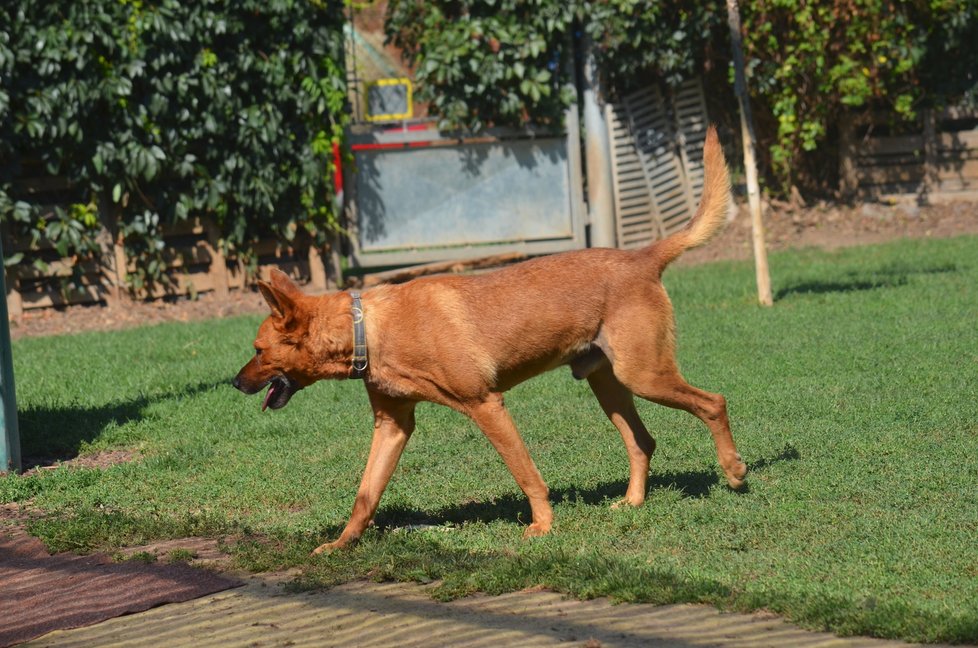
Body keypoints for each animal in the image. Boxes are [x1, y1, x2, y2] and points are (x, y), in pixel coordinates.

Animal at [233, 125, 744, 552]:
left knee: (713, 402)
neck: (368, 328)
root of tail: (643, 257)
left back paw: (735, 471)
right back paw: (634, 502)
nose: (234, 383)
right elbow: (365, 495)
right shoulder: (392, 425)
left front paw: (542, 526)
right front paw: (341, 544)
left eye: (257, 351)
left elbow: (527, 474)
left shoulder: (486, 404)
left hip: (644, 374)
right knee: (642, 441)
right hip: (609, 383)